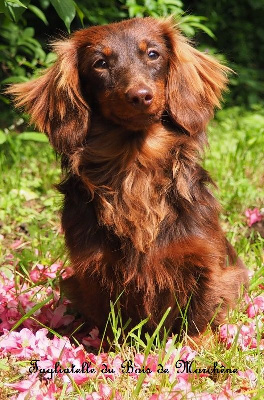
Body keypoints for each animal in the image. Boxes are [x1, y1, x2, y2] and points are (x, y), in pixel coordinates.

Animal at [7, 17, 249, 340]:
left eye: (153, 54)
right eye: (99, 63)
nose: (140, 96)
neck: (136, 169)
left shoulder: (204, 261)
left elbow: (200, 315)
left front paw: (200, 344)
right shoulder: (94, 270)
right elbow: (109, 324)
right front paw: (103, 347)